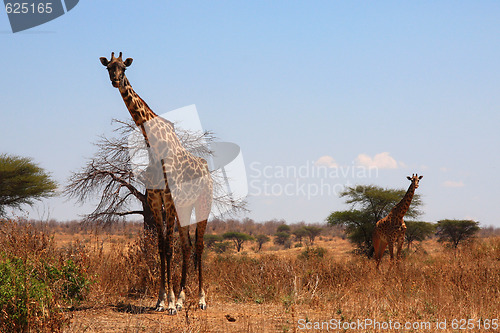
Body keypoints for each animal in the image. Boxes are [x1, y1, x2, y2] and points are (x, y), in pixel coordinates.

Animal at [99, 51, 213, 312]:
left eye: (124, 68)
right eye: (109, 67)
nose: (116, 80)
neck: (155, 146)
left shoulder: (169, 199)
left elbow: (169, 248)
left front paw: (169, 303)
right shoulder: (153, 199)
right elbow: (161, 248)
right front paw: (162, 300)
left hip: (203, 203)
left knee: (199, 246)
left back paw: (201, 299)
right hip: (185, 207)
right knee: (187, 245)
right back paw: (182, 298)